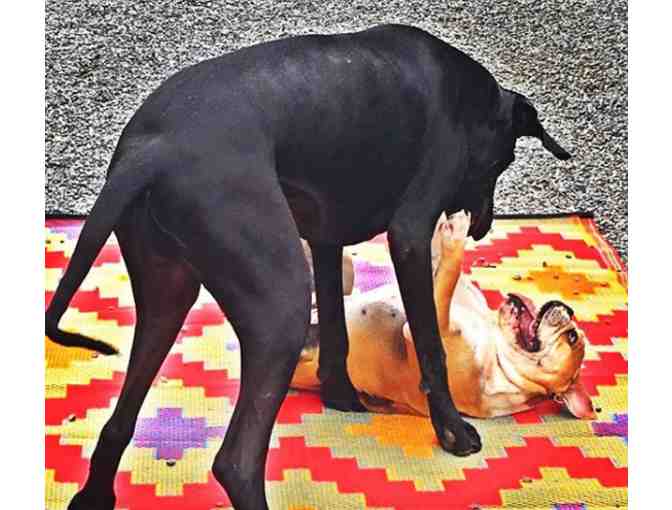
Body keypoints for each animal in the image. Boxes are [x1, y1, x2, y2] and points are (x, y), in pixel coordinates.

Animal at [292, 211, 595, 420]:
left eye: (571, 337)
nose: (565, 307)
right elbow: (446, 272)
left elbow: (447, 281)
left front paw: (455, 233)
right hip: (347, 271)